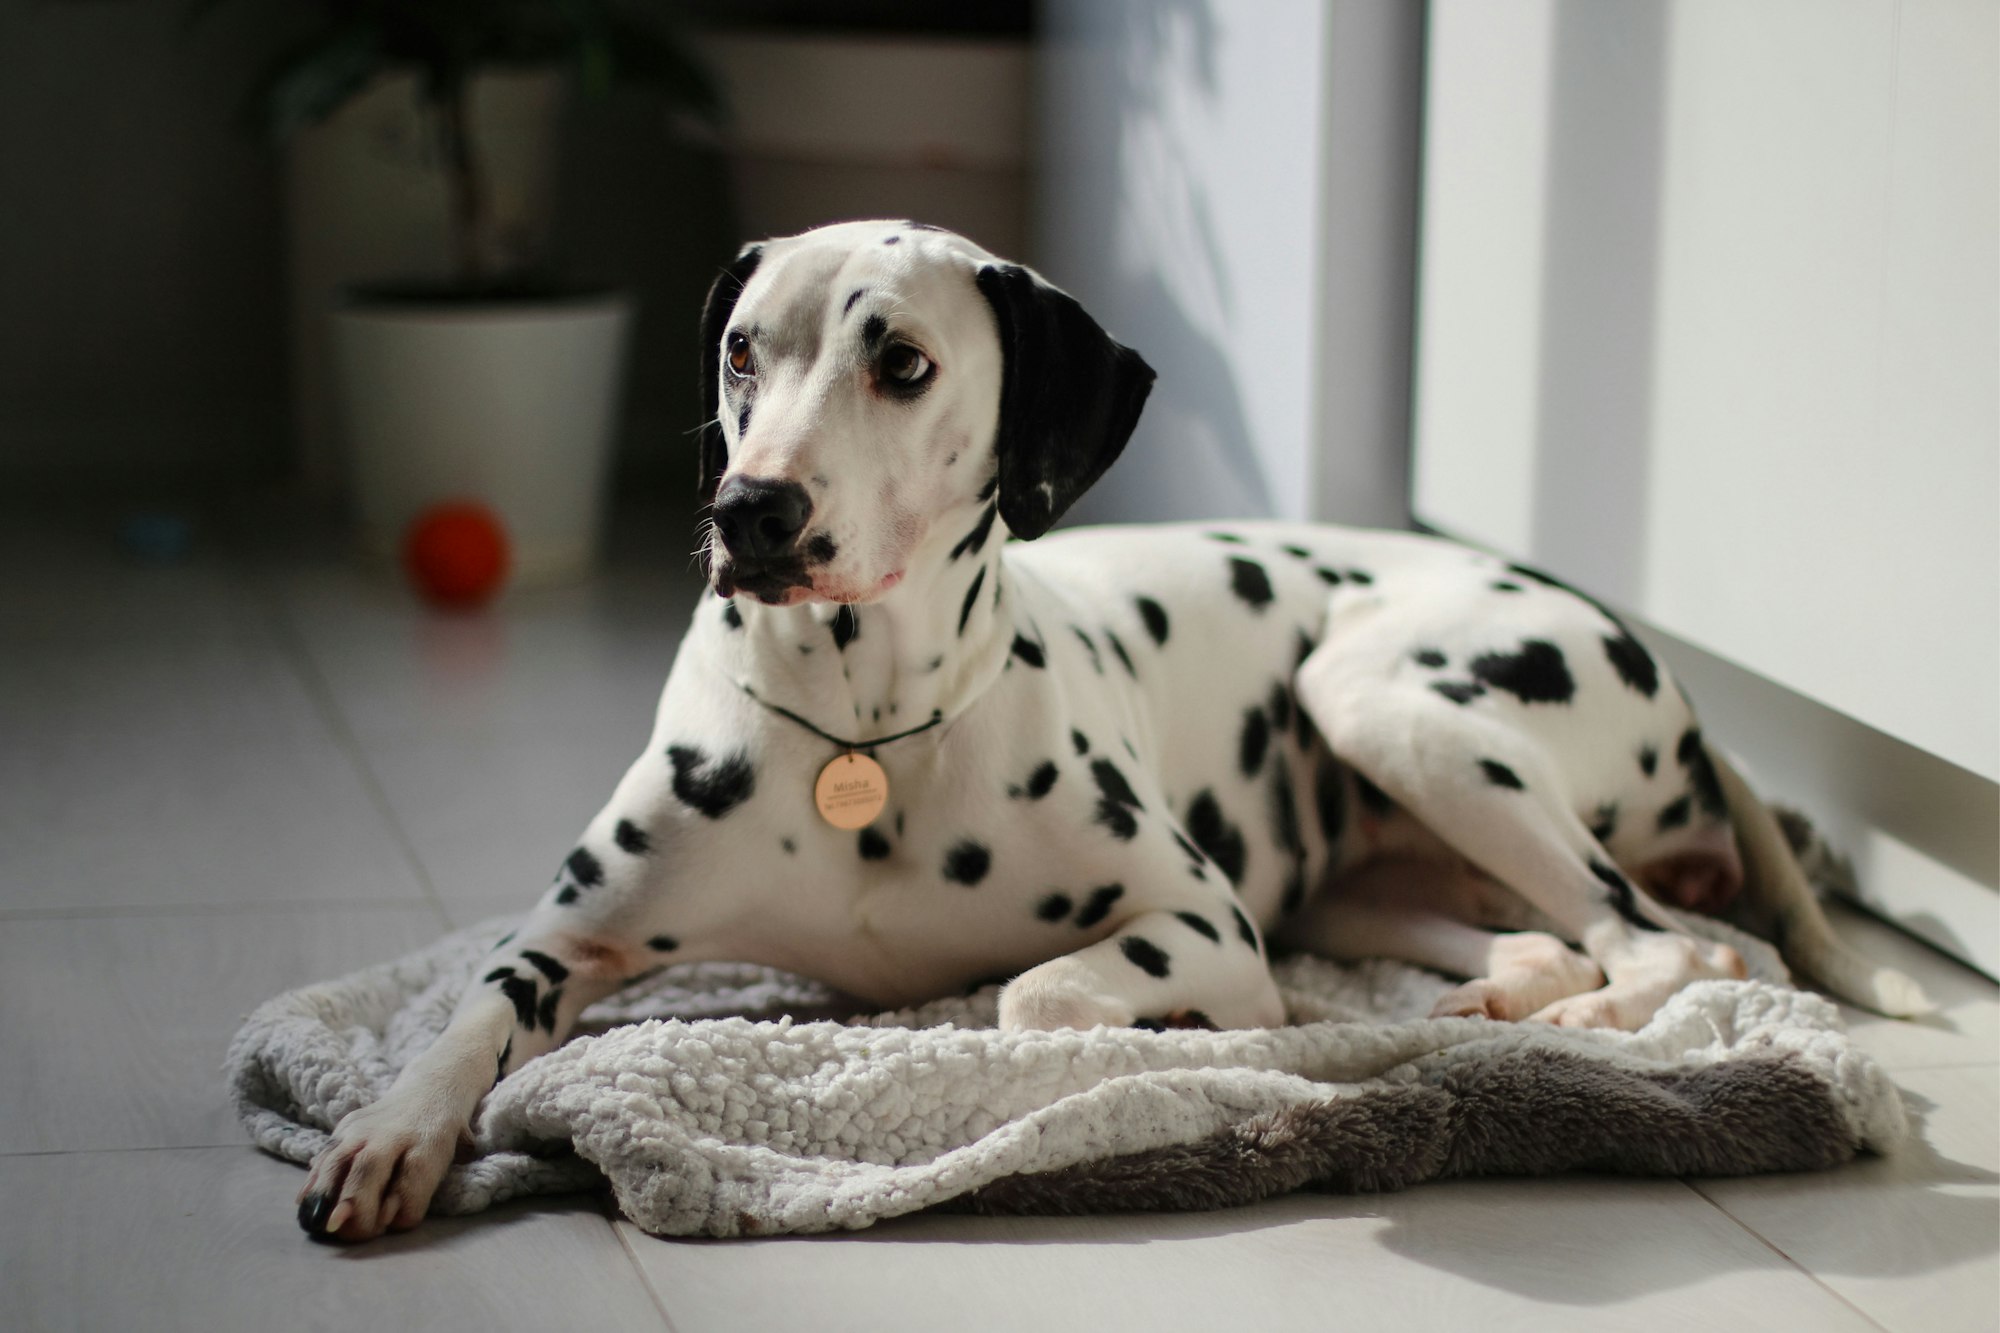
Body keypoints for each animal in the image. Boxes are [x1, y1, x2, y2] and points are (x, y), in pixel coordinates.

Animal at [296, 215, 1920, 1232]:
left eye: (902, 362)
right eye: (744, 351)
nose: (750, 511)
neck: (862, 730)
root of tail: (1679, 681)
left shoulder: (1198, 919)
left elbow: (1033, 997)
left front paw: (1172, 1043)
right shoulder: (563, 939)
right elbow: (465, 1021)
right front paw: (388, 1135)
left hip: (1394, 702)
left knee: (1674, 945)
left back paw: (1580, 1032)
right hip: (1367, 871)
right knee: (1551, 939)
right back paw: (1488, 1009)